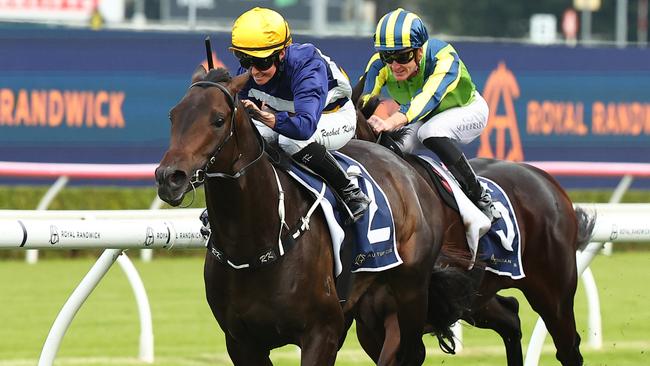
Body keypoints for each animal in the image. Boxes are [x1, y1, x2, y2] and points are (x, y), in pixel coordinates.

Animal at [156, 66, 460, 366]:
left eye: (218, 120)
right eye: (173, 115)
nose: (169, 177)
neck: (255, 244)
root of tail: (406, 168)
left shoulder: (322, 332)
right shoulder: (241, 342)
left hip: (411, 292)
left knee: (412, 351)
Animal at [352, 88, 596, 364]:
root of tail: (546, 179)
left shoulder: (403, 318)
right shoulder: (368, 325)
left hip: (553, 293)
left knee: (568, 348)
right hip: (478, 294)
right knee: (511, 316)